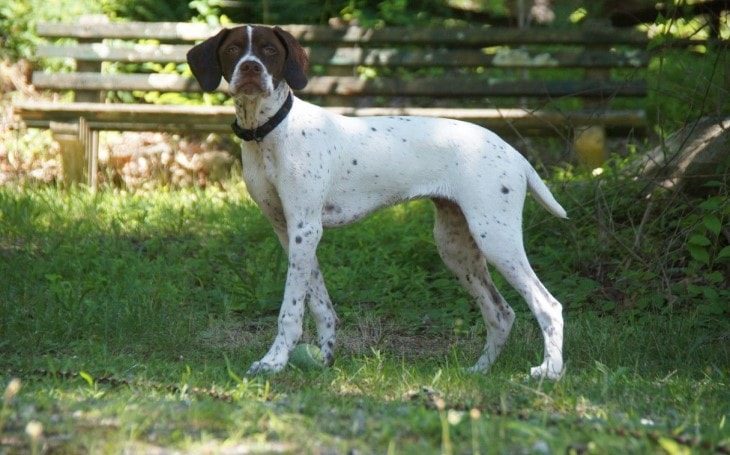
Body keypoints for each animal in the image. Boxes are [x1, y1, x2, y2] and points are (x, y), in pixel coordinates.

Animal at [185, 25, 564, 382]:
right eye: (233, 49)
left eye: (269, 50)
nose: (250, 67)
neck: (270, 132)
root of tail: (512, 151)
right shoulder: (288, 231)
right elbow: (320, 304)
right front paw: (324, 359)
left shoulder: (305, 229)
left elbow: (290, 310)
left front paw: (273, 362)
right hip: (456, 246)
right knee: (501, 313)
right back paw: (479, 371)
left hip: (495, 237)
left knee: (548, 306)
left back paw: (549, 372)